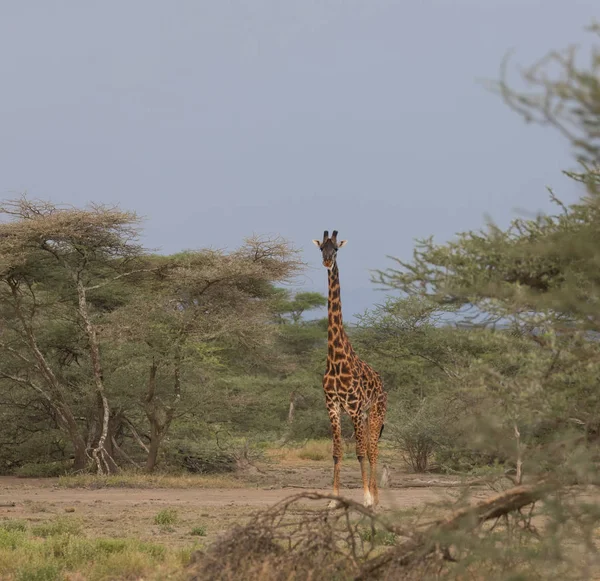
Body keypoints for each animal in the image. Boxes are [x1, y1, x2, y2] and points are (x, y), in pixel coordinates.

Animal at [312, 229, 386, 506]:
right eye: (321, 247)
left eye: (336, 249)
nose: (327, 262)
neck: (336, 359)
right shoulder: (332, 406)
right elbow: (337, 451)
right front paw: (334, 498)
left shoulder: (353, 408)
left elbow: (360, 451)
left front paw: (365, 498)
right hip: (365, 416)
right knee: (372, 448)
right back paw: (376, 495)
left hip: (375, 412)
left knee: (373, 449)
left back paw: (376, 497)